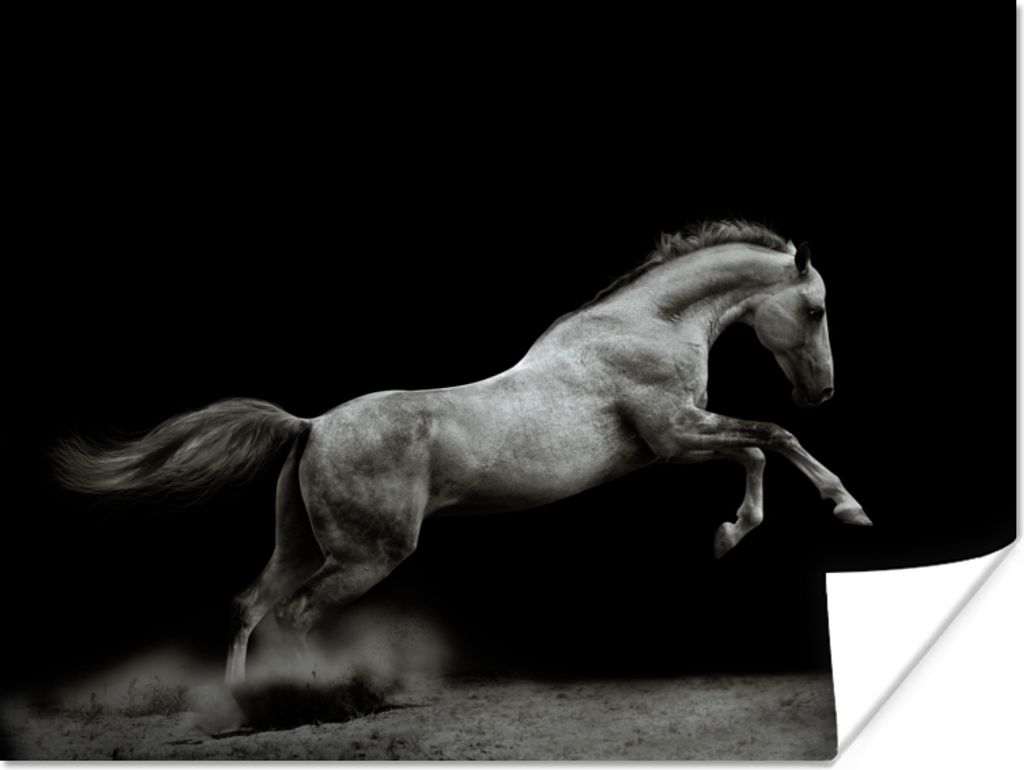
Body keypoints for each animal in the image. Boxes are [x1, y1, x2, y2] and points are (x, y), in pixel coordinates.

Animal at [52, 219, 871, 687]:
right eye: (816, 309)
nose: (824, 391)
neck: (644, 326)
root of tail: (311, 425)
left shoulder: (670, 445)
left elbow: (758, 453)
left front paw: (728, 537)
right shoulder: (676, 430)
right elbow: (775, 439)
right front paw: (846, 508)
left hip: (300, 543)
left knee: (251, 605)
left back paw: (241, 706)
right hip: (367, 554)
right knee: (294, 614)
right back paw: (316, 698)